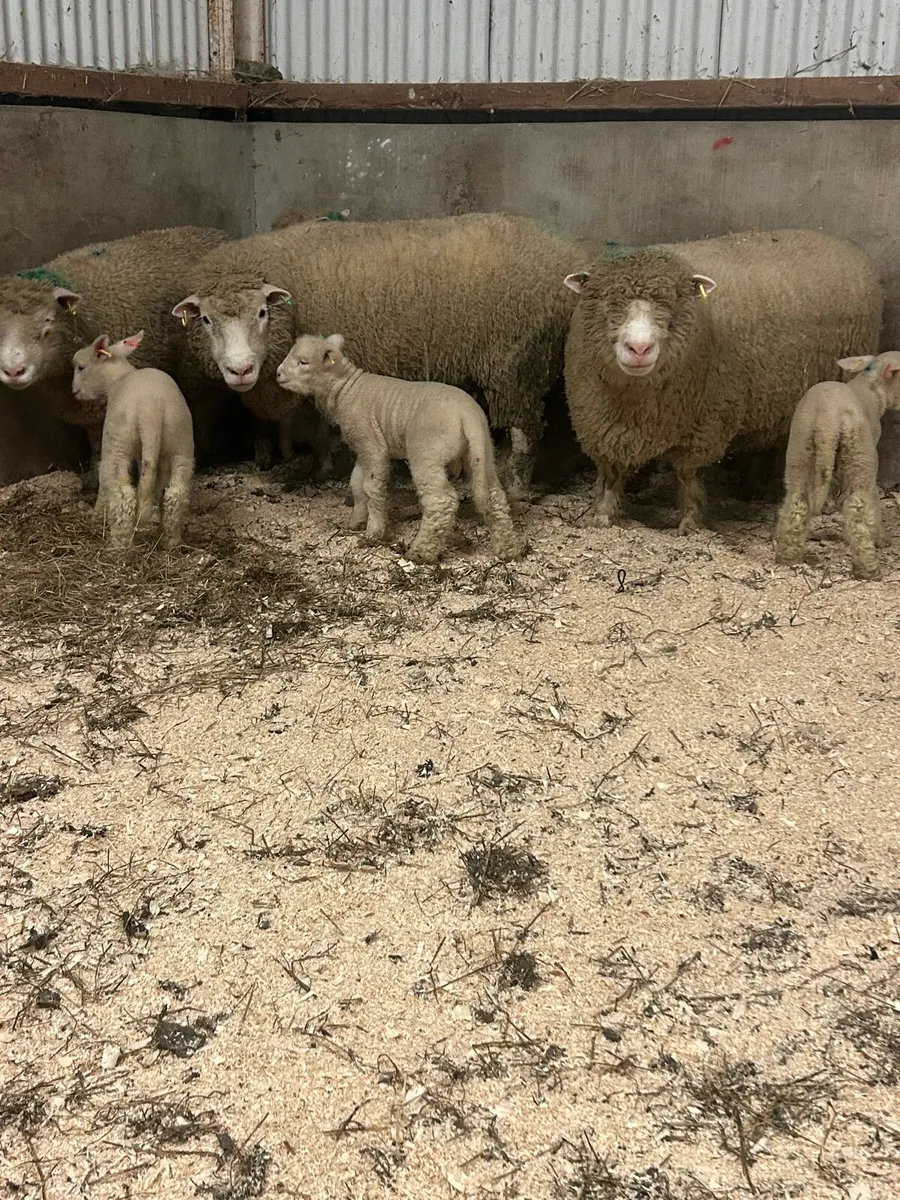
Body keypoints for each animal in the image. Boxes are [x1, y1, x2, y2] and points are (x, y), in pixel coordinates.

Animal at [72, 331, 194, 550]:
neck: (117, 379)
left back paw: (117, 546)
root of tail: (152, 408)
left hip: (118, 443)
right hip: (180, 442)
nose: (74, 391)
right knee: (176, 492)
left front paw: (97, 517)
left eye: (81, 367)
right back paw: (170, 540)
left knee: (123, 494)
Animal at [172, 212, 581, 500]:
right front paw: (322, 468)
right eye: (206, 319)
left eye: (261, 312)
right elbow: (318, 429)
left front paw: (329, 469)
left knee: (526, 430)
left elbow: (325, 429)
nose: (240, 369)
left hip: (514, 363)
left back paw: (518, 486)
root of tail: (568, 251)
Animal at [276, 333, 521, 564]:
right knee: (494, 496)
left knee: (441, 501)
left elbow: (372, 488)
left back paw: (421, 552)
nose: (277, 374)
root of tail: (468, 414)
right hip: (480, 452)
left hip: (427, 453)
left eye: (303, 362)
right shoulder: (363, 450)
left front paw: (374, 531)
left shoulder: (372, 445)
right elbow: (356, 484)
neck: (346, 390)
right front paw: (355, 521)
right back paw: (508, 549)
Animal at [563, 230, 883, 533]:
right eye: (608, 302)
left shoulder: (705, 428)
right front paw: (601, 515)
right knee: (767, 445)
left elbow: (688, 476)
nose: (639, 348)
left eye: (673, 304)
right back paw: (752, 488)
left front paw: (691, 523)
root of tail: (842, 242)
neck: (635, 402)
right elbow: (611, 475)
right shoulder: (601, 426)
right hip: (774, 397)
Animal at [774, 351, 900, 579]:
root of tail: (826, 422)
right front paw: (881, 540)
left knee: (797, 501)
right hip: (859, 455)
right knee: (856, 508)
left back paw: (787, 558)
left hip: (799, 450)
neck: (870, 388)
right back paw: (869, 569)